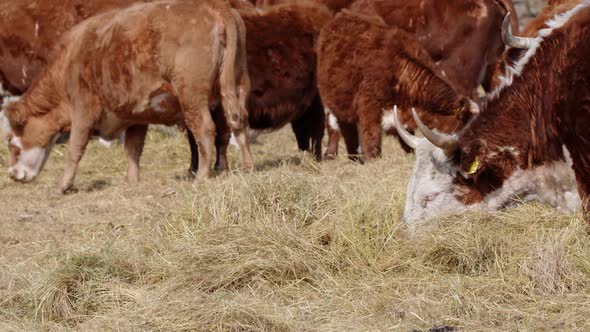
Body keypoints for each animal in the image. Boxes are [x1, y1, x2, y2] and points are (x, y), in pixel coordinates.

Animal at [0, 0, 252, 193]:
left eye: (11, 141)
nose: (12, 174)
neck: (69, 61)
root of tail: (215, 7)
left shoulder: (83, 109)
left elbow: (75, 149)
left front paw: (63, 185)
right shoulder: (136, 116)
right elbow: (133, 149)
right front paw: (132, 180)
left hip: (192, 97)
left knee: (205, 130)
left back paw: (202, 175)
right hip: (234, 86)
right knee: (237, 122)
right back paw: (247, 166)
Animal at [316, 10, 478, 161]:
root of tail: (342, 15)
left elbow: (407, 142)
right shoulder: (368, 110)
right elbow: (371, 142)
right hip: (330, 105)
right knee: (336, 129)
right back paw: (333, 155)